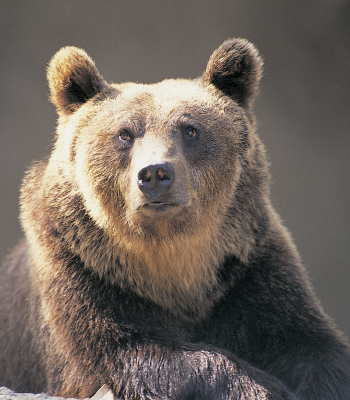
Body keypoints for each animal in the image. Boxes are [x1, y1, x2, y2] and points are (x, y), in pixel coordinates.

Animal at [0, 38, 350, 400]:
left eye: (190, 130)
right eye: (125, 133)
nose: (155, 173)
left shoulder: (249, 271)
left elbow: (308, 343)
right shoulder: (82, 271)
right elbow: (128, 349)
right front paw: (263, 387)